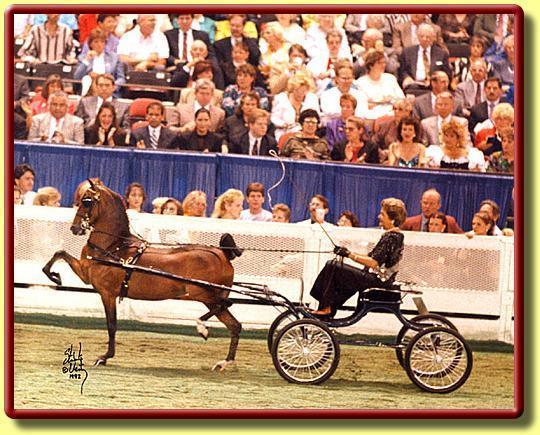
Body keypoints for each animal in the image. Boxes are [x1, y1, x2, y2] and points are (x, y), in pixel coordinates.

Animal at [42, 179, 243, 371]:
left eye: (87, 201)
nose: (74, 228)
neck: (114, 247)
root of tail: (223, 254)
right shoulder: (85, 273)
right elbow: (60, 253)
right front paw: (54, 276)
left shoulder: (107, 293)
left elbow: (111, 325)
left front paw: (105, 357)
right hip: (208, 298)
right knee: (234, 324)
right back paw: (225, 363)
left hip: (202, 293)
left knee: (227, 304)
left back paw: (202, 327)